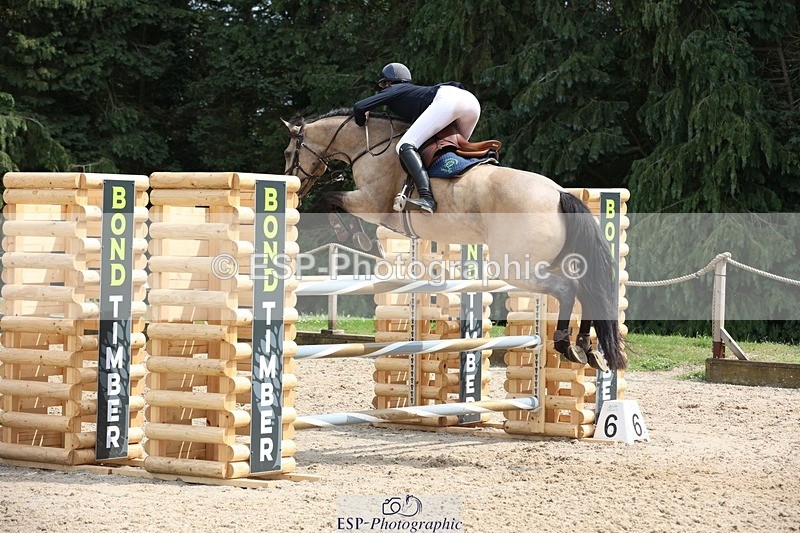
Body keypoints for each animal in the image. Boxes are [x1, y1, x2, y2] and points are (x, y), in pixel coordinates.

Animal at [282, 109, 625, 371]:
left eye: (288, 152)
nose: (292, 183)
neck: (369, 144)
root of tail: (558, 193)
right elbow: (333, 199)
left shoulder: (370, 202)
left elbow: (330, 198)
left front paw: (353, 236)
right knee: (587, 290)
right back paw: (586, 347)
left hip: (517, 267)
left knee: (568, 289)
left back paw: (566, 344)